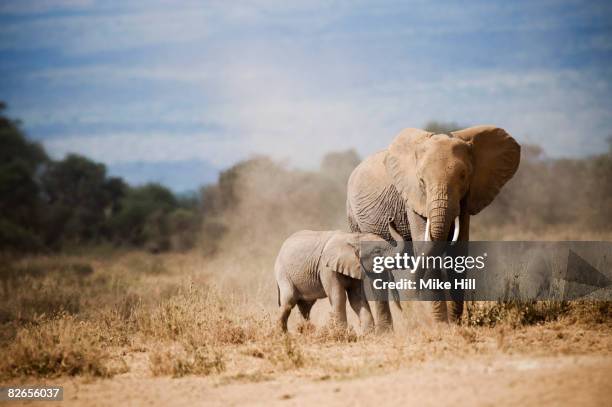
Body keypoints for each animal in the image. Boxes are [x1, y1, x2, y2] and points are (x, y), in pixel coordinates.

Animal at [274, 218, 404, 334]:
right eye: (377, 251)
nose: (391, 219)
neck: (352, 238)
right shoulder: (326, 268)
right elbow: (339, 296)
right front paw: (342, 335)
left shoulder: (354, 267)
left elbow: (357, 298)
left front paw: (368, 335)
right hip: (283, 272)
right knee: (288, 301)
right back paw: (282, 335)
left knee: (305, 306)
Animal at [346, 126, 520, 330]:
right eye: (421, 180)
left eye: (463, 176)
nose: (391, 221)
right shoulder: (413, 198)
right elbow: (426, 247)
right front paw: (441, 326)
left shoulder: (466, 199)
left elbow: (459, 254)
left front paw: (455, 324)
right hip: (353, 217)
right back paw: (386, 331)